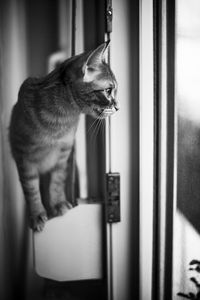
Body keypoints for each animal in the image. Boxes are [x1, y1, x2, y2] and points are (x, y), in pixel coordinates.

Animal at [9, 42, 119, 232]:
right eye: (108, 90)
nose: (118, 107)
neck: (59, 122)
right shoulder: (24, 156)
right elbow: (31, 190)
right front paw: (37, 215)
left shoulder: (63, 154)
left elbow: (57, 181)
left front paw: (58, 204)